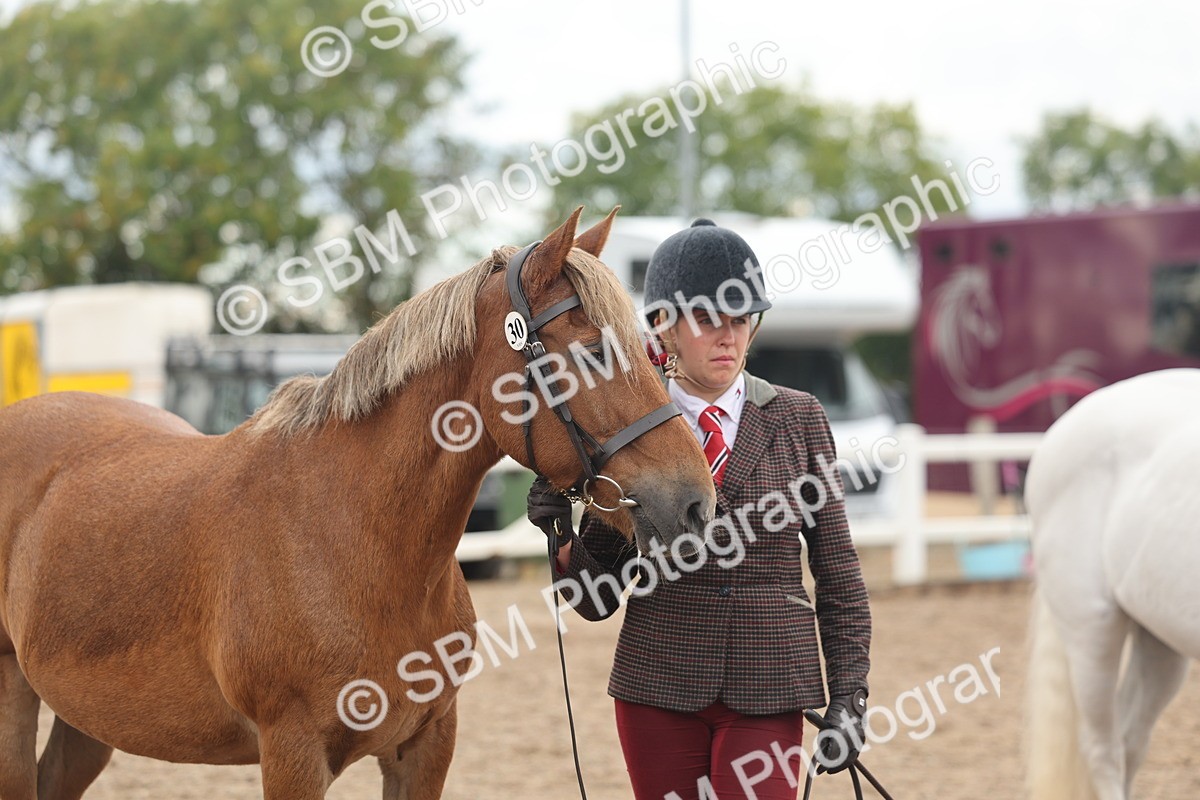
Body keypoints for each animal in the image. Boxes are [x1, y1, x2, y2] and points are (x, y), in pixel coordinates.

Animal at [0, 207, 717, 800]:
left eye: (652, 353)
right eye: (593, 351)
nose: (694, 502)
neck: (352, 535)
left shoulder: (425, 747)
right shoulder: (292, 756)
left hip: (88, 715)